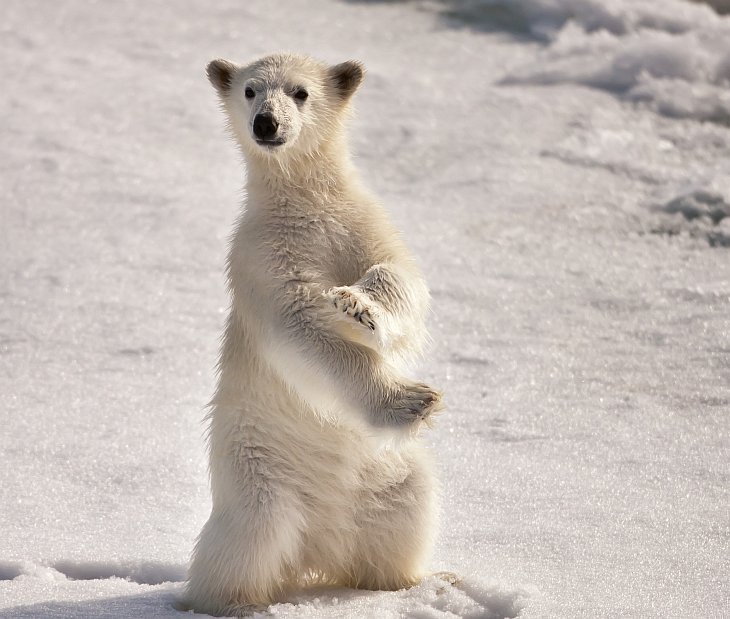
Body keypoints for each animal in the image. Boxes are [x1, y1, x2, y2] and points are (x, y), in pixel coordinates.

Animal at [185, 53, 440, 616]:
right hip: (259, 471)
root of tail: (319, 548)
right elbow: (301, 327)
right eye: (250, 90)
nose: (266, 124)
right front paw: (412, 401)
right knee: (247, 541)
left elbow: (400, 277)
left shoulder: (361, 223)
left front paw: (359, 306)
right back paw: (231, 602)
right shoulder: (263, 256)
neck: (304, 203)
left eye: (300, 92)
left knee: (404, 516)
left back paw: (410, 584)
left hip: (389, 475)